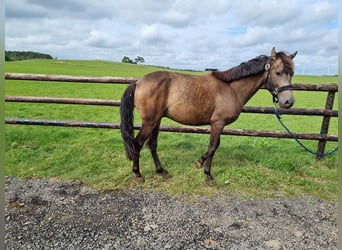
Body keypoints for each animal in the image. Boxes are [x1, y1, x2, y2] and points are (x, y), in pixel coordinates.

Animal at [120, 47, 296, 184]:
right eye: (278, 72)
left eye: (292, 73)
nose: (288, 102)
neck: (231, 88)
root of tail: (138, 82)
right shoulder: (217, 123)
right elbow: (212, 147)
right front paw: (207, 174)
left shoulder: (218, 125)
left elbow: (214, 146)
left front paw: (201, 165)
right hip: (149, 122)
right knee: (137, 144)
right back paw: (137, 174)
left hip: (156, 121)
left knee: (152, 145)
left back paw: (161, 171)